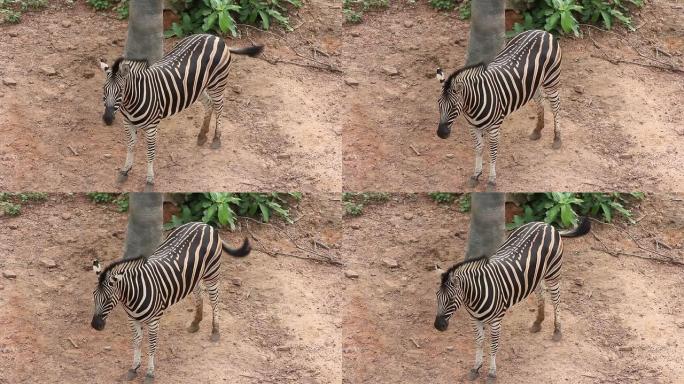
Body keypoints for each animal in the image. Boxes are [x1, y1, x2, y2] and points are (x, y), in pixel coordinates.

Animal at [91, 222, 250, 380]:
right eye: (94, 296)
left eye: (108, 298)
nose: (95, 325)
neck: (132, 296)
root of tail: (204, 224)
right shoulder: (132, 319)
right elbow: (136, 342)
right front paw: (134, 368)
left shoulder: (154, 321)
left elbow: (151, 345)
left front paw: (150, 373)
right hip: (193, 275)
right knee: (199, 294)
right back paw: (195, 322)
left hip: (212, 272)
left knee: (215, 299)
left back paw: (215, 330)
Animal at [97, 34, 264, 189]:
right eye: (104, 90)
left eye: (120, 91)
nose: (107, 119)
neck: (131, 102)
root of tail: (215, 37)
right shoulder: (128, 123)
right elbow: (130, 146)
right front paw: (125, 170)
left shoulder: (151, 127)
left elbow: (150, 152)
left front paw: (150, 179)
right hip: (197, 88)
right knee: (209, 104)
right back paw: (202, 135)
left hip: (217, 83)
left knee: (219, 107)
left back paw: (216, 138)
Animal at [436, 30, 564, 190]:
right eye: (438, 104)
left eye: (453, 106)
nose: (441, 134)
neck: (472, 105)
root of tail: (542, 32)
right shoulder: (472, 127)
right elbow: (478, 148)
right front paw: (476, 175)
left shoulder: (494, 128)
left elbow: (492, 152)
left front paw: (491, 180)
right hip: (533, 83)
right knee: (540, 101)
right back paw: (537, 129)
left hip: (551, 80)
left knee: (556, 106)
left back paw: (557, 138)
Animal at [436, 218, 592, 382]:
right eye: (437, 296)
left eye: (451, 299)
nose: (437, 326)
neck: (475, 296)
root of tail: (546, 224)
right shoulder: (474, 319)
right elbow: (479, 342)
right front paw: (476, 368)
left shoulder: (496, 321)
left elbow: (493, 345)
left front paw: (492, 373)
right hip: (535, 275)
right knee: (541, 294)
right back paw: (538, 322)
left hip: (553, 272)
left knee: (556, 299)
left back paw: (557, 330)